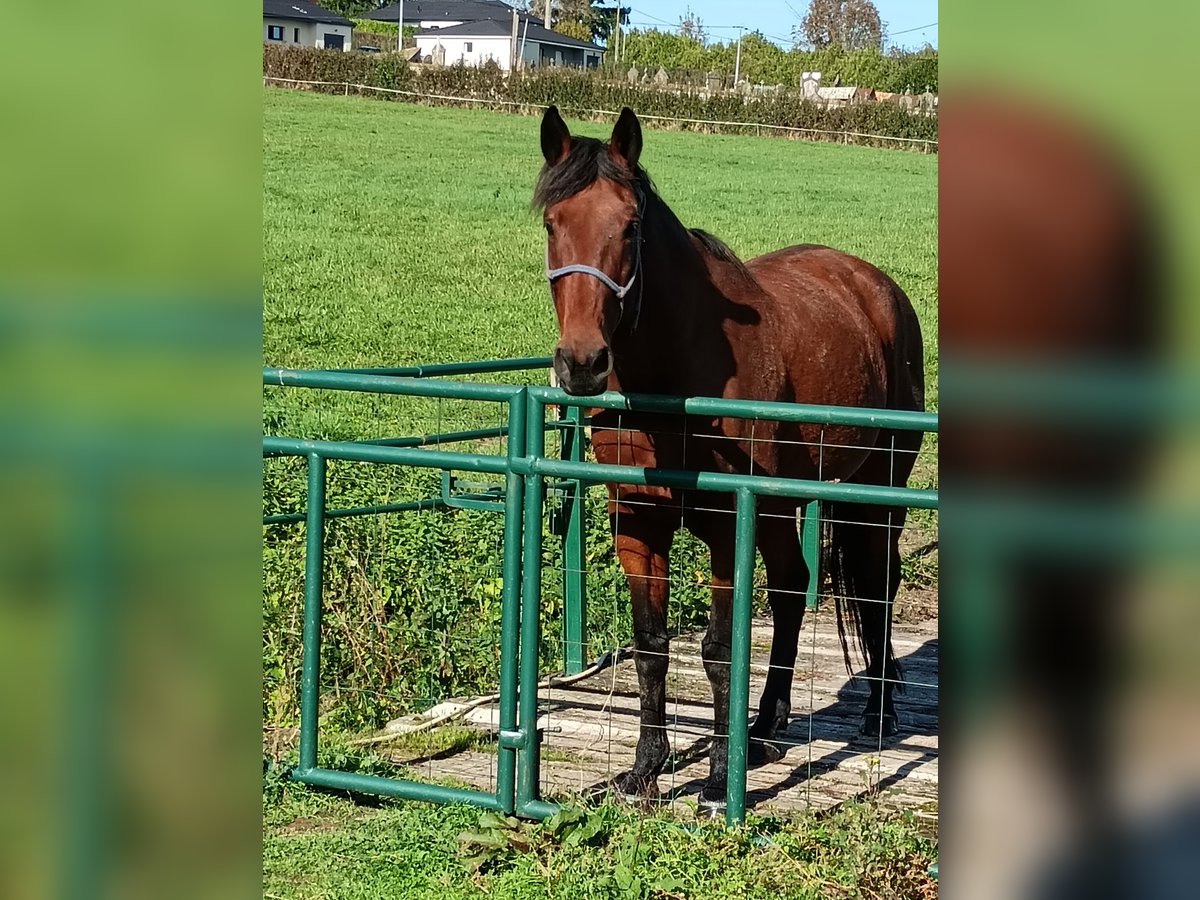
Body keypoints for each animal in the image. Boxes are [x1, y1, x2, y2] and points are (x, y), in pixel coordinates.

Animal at [537, 107, 926, 811]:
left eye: (629, 226)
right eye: (553, 223)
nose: (582, 363)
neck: (678, 372)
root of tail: (877, 287)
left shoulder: (725, 524)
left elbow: (720, 648)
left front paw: (719, 778)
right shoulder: (640, 521)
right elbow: (652, 645)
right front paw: (645, 769)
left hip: (876, 493)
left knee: (878, 585)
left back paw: (878, 714)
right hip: (779, 506)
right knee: (793, 588)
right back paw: (766, 724)